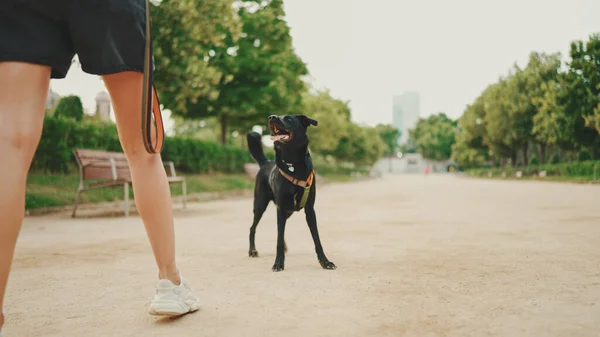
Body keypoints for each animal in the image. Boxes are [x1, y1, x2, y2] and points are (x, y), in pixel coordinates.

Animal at [245, 114, 338, 272]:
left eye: (288, 119)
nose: (271, 117)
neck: (292, 164)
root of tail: (266, 162)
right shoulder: (281, 208)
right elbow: (279, 238)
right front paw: (278, 263)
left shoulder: (309, 210)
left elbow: (316, 239)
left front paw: (325, 262)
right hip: (260, 205)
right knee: (253, 228)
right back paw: (252, 250)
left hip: (288, 210)